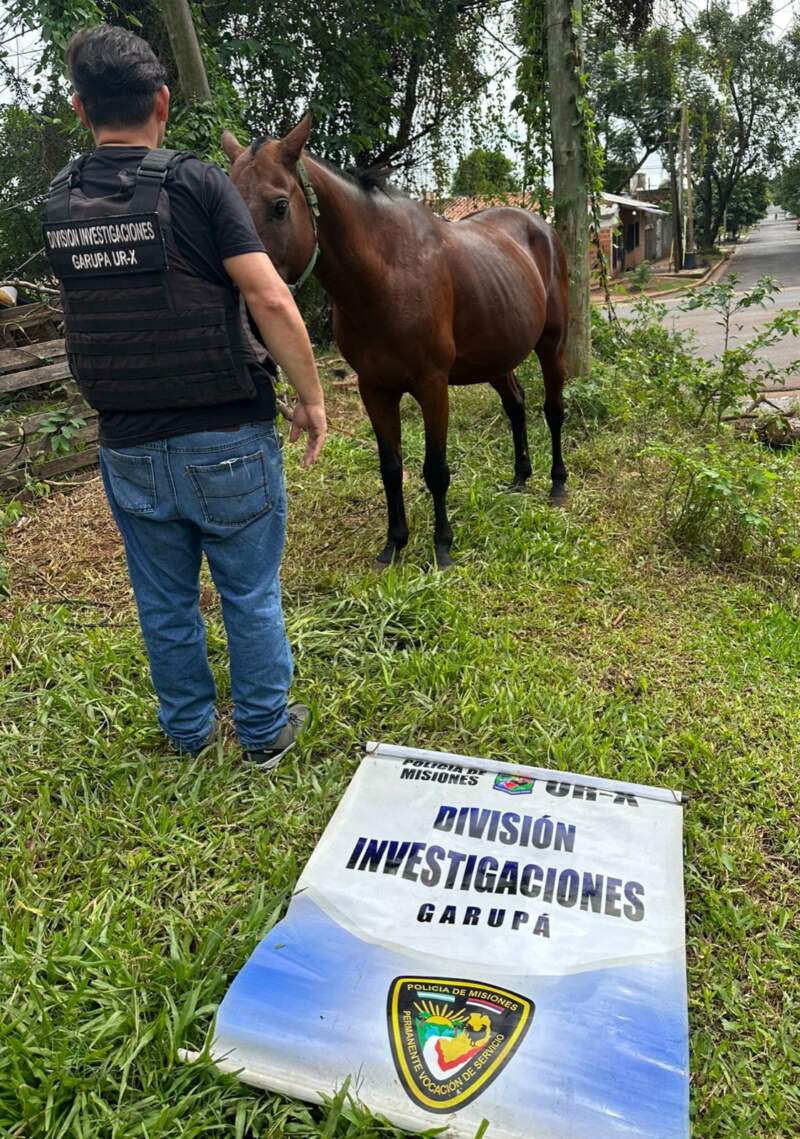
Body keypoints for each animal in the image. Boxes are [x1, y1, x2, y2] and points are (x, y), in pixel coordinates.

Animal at [222, 115, 569, 569]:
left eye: (279, 205)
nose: (244, 309)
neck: (387, 276)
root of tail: (540, 227)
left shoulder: (432, 385)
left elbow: (435, 469)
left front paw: (442, 546)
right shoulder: (375, 388)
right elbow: (390, 467)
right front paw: (394, 544)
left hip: (551, 344)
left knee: (553, 411)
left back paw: (557, 485)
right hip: (495, 356)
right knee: (516, 405)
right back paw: (519, 478)